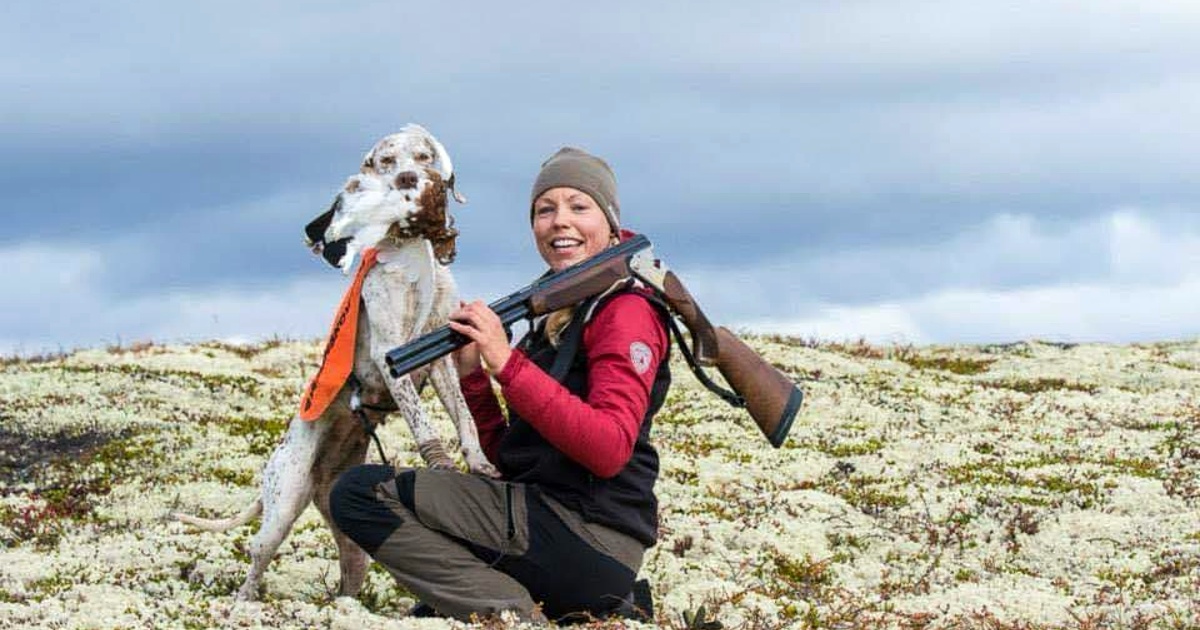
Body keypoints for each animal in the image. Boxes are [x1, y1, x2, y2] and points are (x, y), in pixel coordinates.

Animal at [171, 123, 494, 600]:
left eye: (423, 156)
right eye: (385, 162)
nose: (408, 180)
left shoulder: (440, 357)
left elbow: (466, 419)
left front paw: (479, 464)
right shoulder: (390, 353)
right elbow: (424, 424)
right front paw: (442, 467)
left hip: (349, 538)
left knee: (349, 576)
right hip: (282, 505)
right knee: (256, 559)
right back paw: (244, 603)